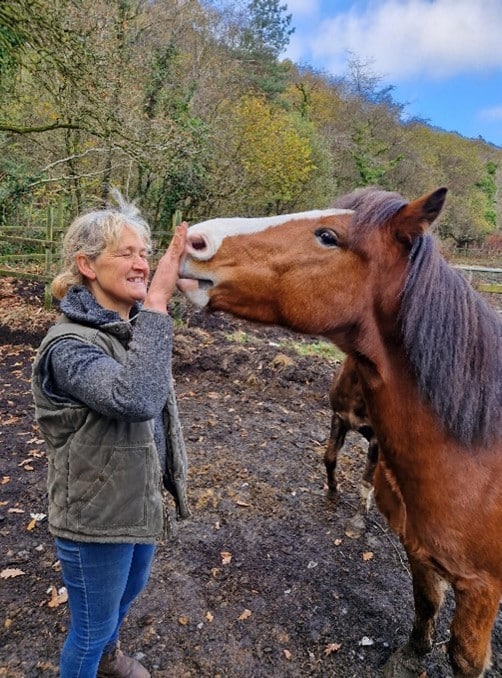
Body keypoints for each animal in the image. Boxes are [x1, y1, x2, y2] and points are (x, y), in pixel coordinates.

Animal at [325, 354, 378, 539]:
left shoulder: (376, 439)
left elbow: (367, 480)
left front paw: (357, 522)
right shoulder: (339, 418)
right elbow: (330, 458)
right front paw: (333, 492)